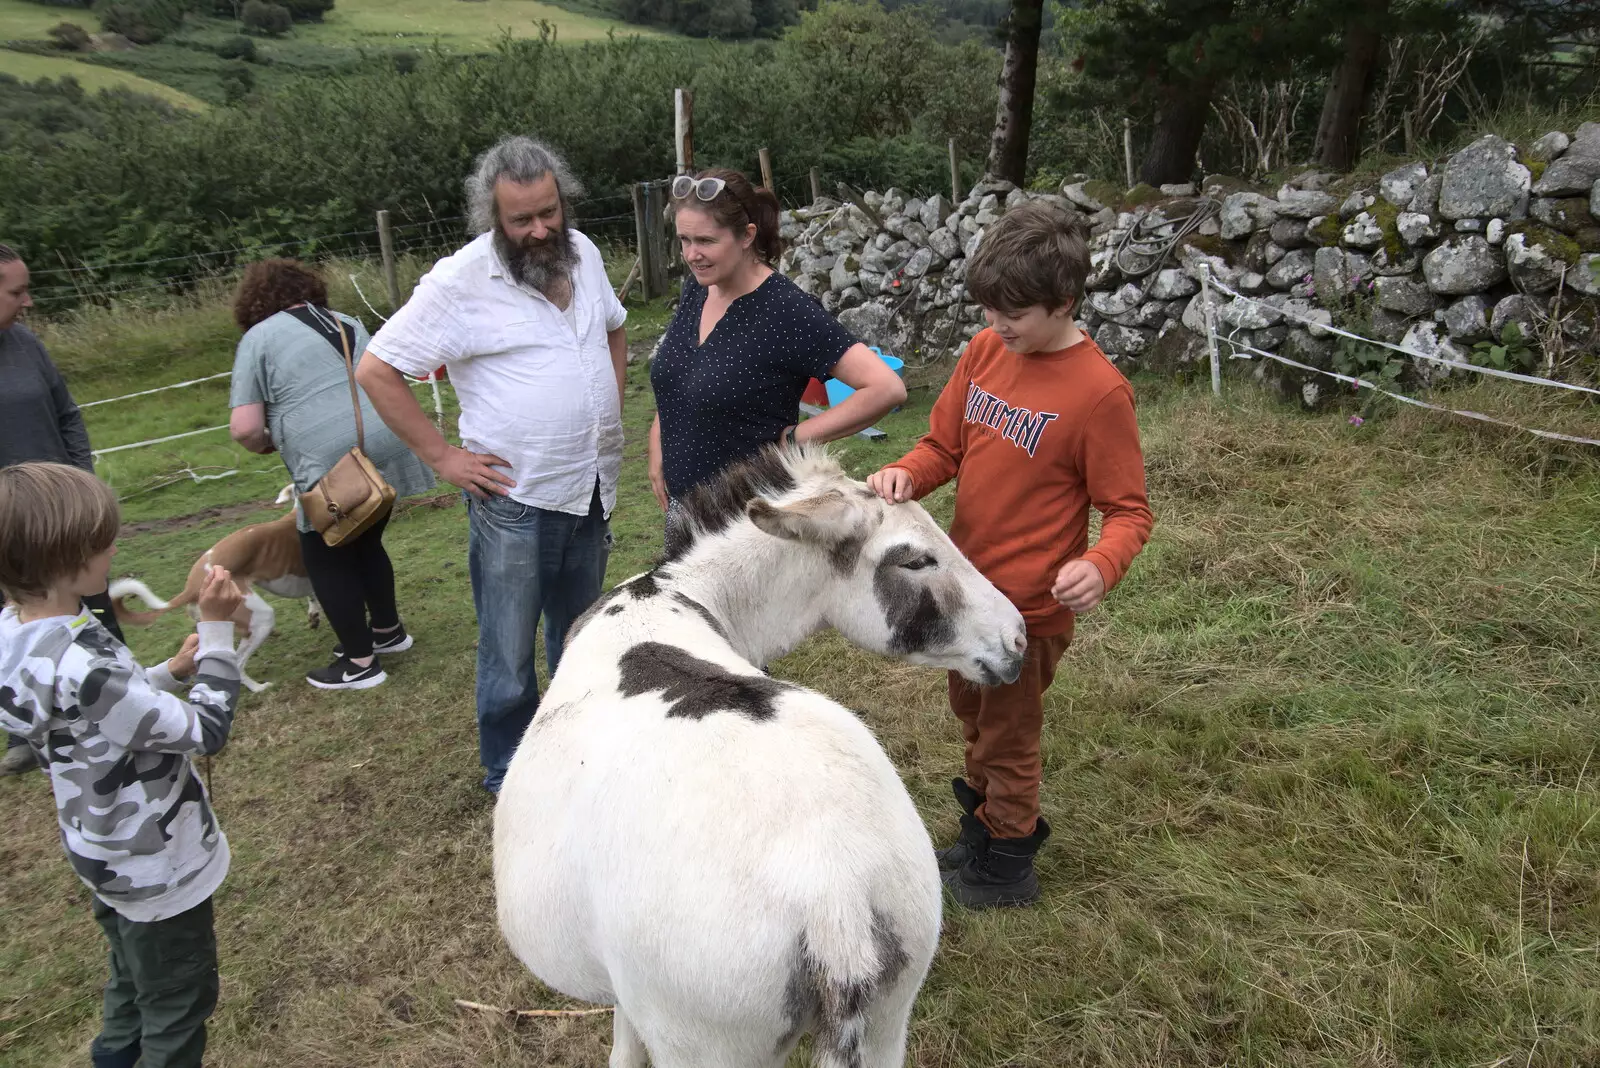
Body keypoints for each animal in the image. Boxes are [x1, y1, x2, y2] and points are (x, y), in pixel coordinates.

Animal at [111, 486, 320, 693]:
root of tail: (191, 587)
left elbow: (313, 597)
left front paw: (314, 614)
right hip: (259, 618)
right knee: (238, 663)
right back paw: (258, 688)